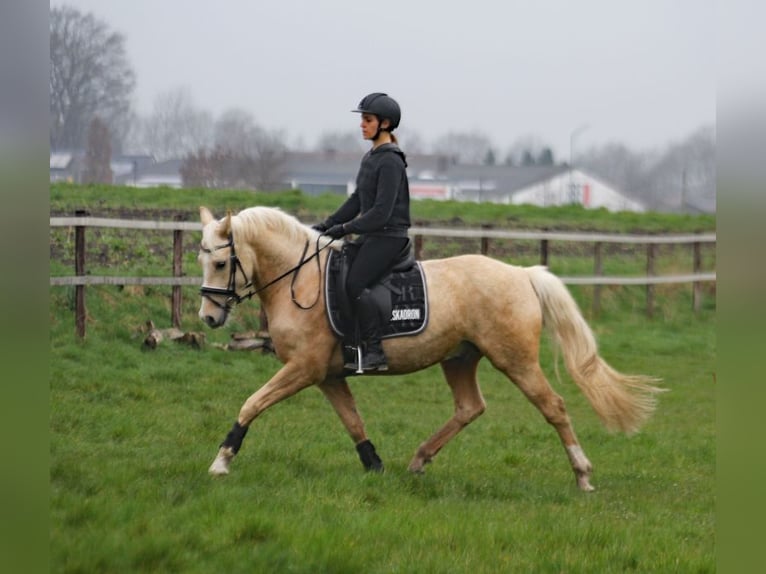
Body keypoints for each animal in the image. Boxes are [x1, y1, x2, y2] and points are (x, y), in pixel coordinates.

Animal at [201, 205, 664, 492]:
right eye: (202, 260)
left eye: (221, 263)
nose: (208, 318)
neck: (301, 280)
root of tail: (521, 274)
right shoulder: (327, 375)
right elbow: (353, 421)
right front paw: (375, 466)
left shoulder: (304, 368)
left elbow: (252, 403)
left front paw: (221, 461)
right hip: (459, 358)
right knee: (469, 407)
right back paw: (419, 460)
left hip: (515, 360)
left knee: (554, 407)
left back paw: (582, 475)